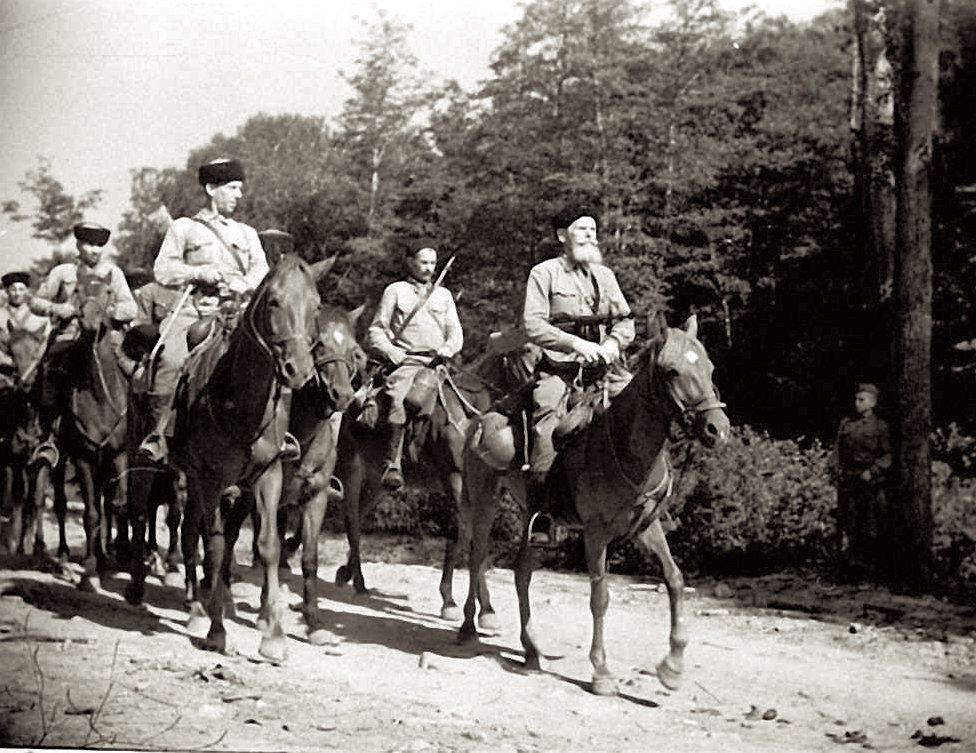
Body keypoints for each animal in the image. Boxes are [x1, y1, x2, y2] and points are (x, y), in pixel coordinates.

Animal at [162, 256, 326, 660]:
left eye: (316, 306)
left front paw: (275, 637)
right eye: (274, 302)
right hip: (183, 477)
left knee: (194, 534)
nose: (298, 370)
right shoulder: (211, 479)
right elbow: (216, 547)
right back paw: (196, 609)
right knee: (186, 533)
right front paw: (217, 632)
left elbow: (267, 546)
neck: (240, 403)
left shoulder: (267, 476)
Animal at [460, 314, 732, 696]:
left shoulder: (646, 526)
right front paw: (601, 672)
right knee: (476, 557)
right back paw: (470, 627)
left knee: (521, 573)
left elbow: (675, 579)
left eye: (709, 368)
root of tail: (479, 420)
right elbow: (600, 596)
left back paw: (532, 650)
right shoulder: (595, 533)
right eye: (671, 371)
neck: (625, 447)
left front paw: (673, 667)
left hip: (533, 519)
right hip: (484, 497)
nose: (717, 429)